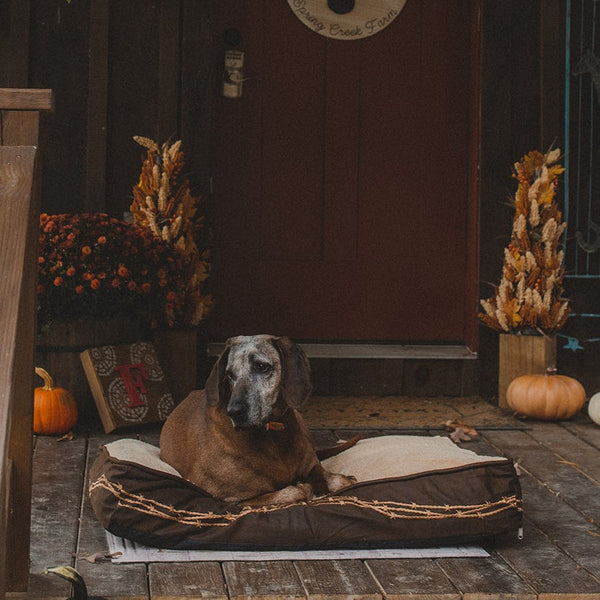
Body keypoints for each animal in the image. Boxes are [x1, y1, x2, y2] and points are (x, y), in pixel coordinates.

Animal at [159, 336, 356, 504]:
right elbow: (296, 491)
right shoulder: (232, 499)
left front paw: (339, 479)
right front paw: (305, 487)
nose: (234, 412)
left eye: (261, 366)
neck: (272, 434)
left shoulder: (312, 465)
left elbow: (335, 479)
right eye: (229, 374)